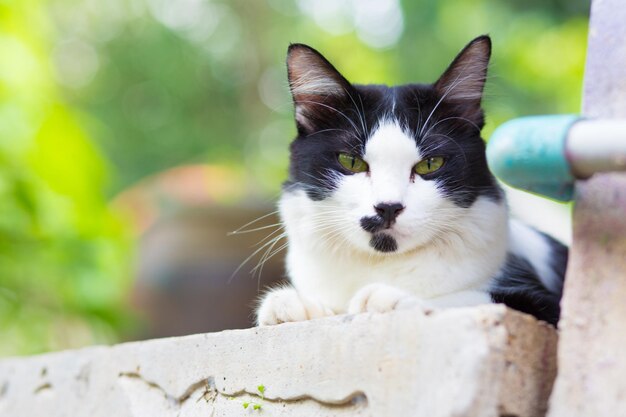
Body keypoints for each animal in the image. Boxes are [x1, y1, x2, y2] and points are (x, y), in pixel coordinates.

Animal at [252, 35, 564, 326]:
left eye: (430, 164)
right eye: (351, 162)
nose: (388, 207)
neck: (381, 264)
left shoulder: (546, 303)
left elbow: (470, 298)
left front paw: (389, 297)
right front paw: (294, 305)